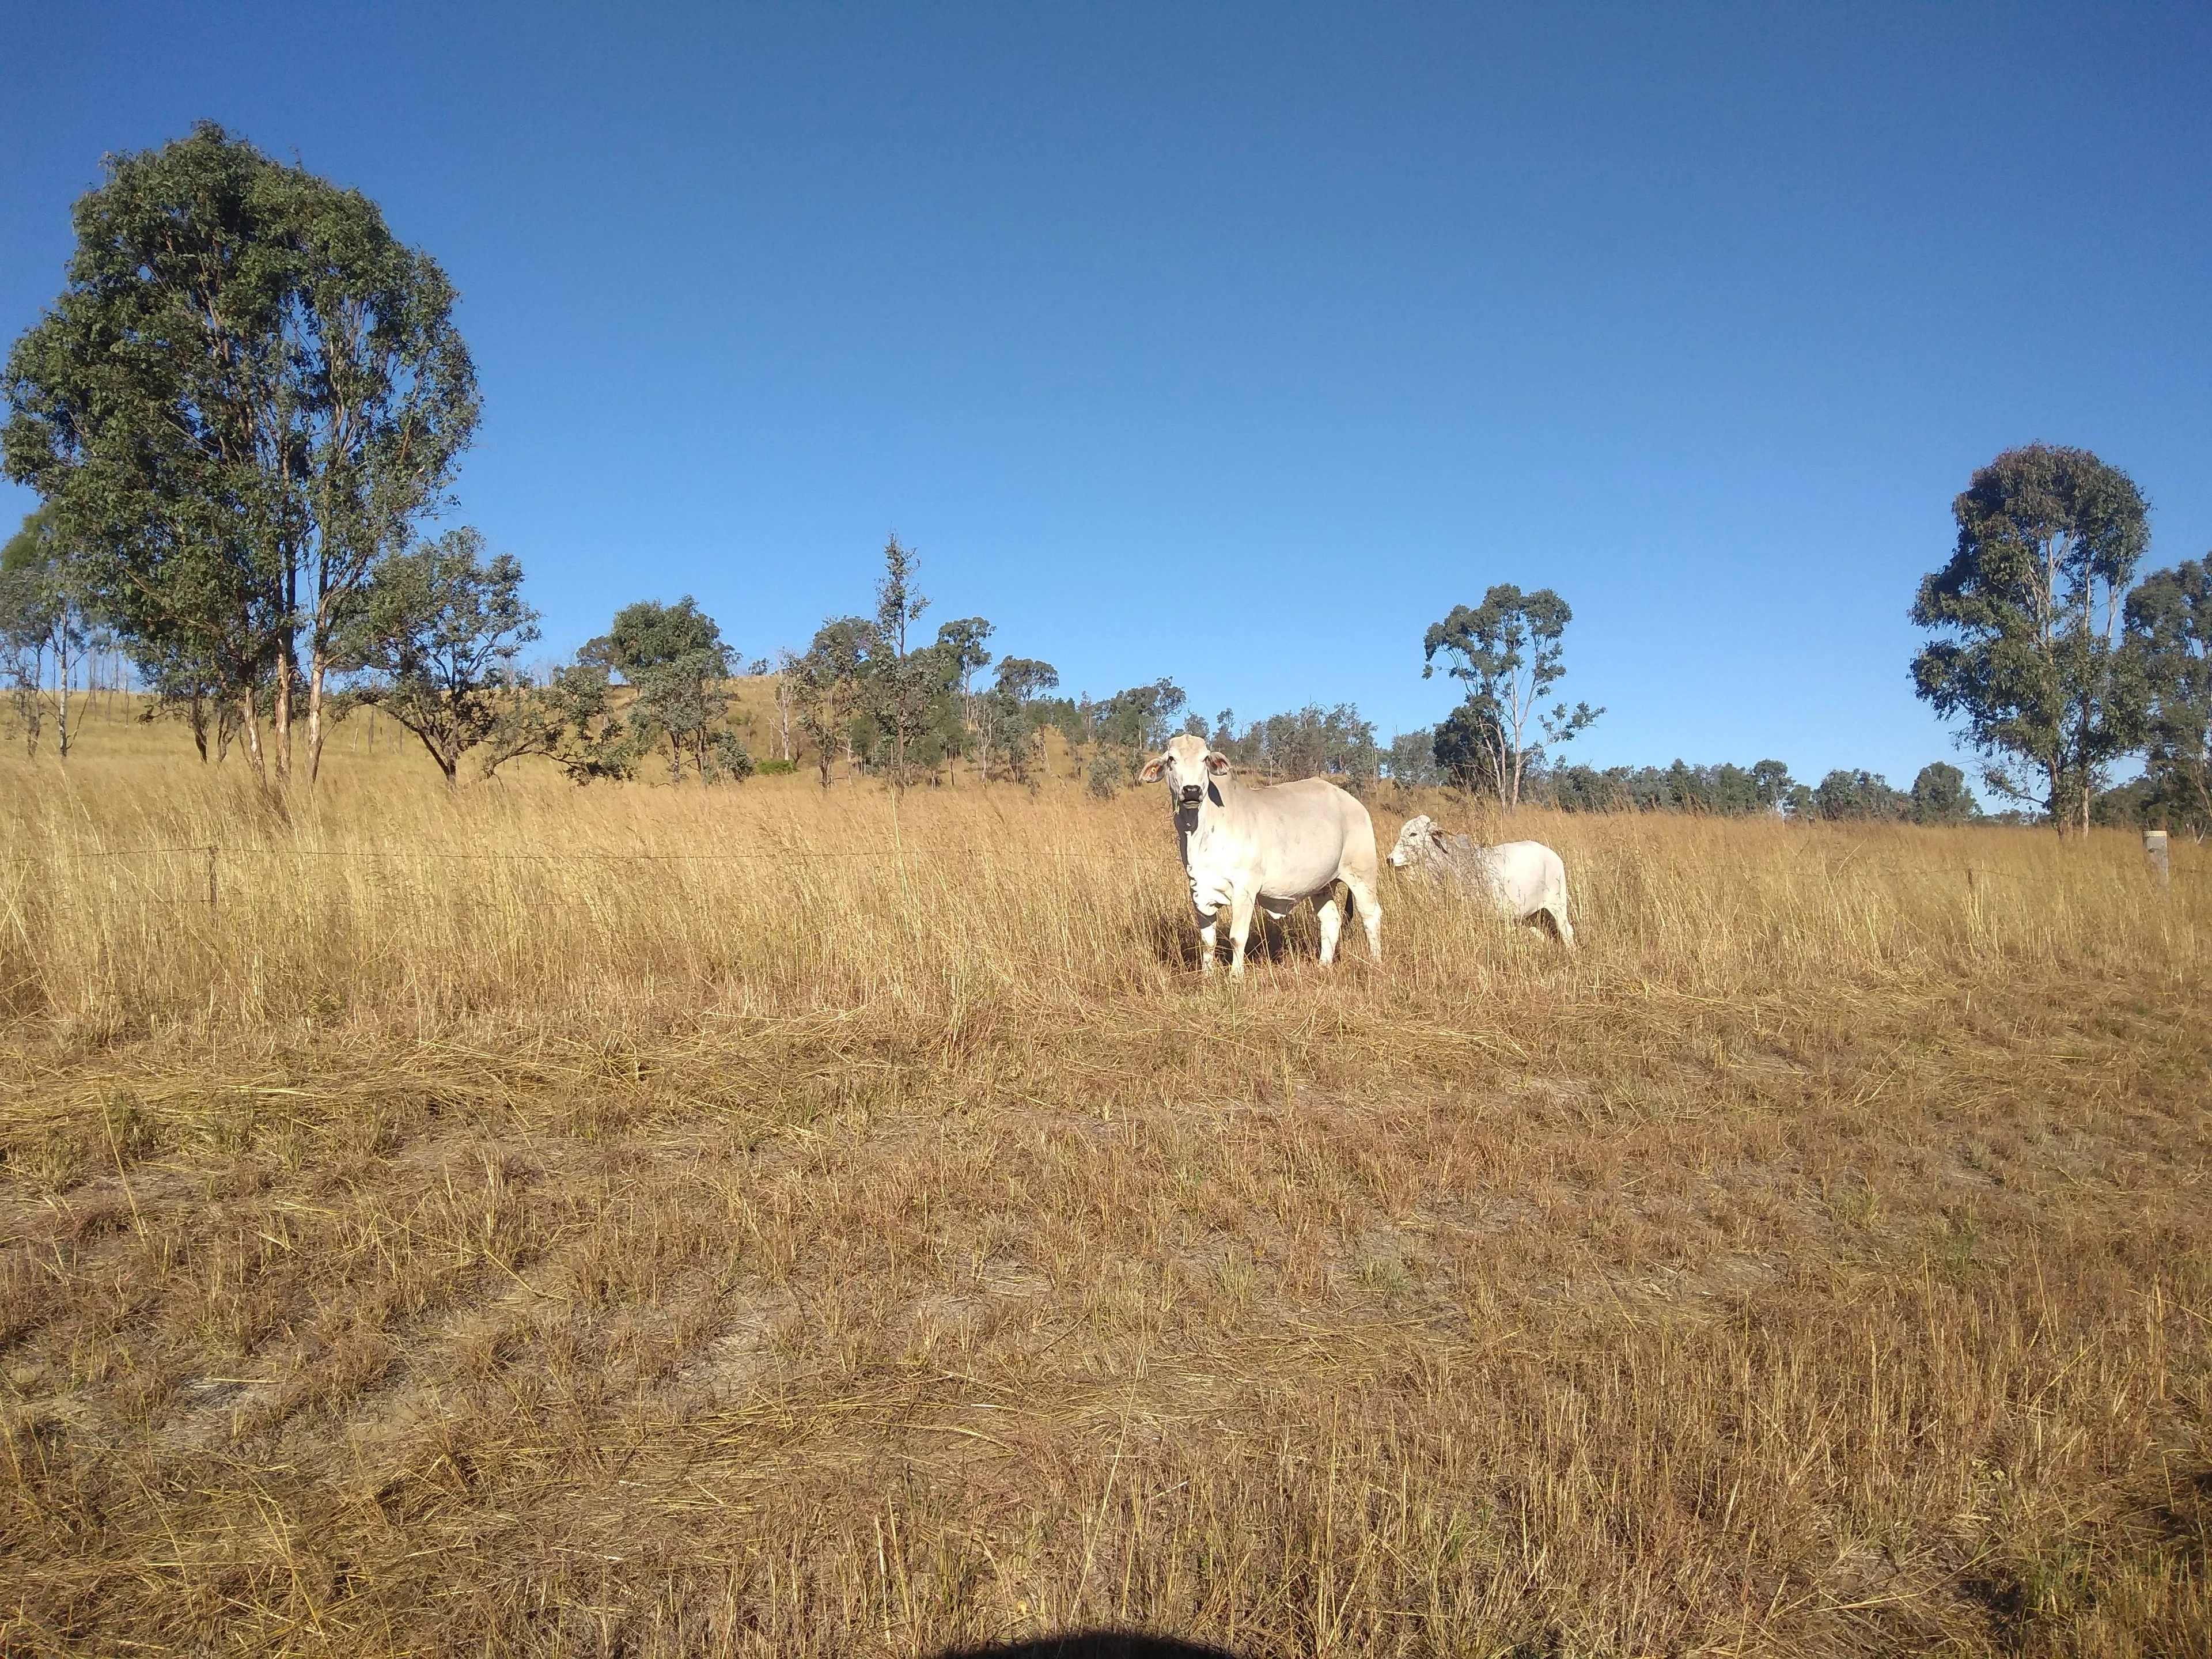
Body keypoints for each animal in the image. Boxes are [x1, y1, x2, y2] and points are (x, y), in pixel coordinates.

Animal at [1137, 732, 1383, 977]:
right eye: (1172, 759)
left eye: (1205, 759)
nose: (1192, 791)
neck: (1198, 831)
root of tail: (1354, 803)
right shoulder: (1198, 889)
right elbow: (1207, 939)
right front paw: (1208, 975)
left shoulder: (1245, 888)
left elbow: (1237, 937)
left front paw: (1236, 976)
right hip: (1323, 885)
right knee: (1331, 919)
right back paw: (1324, 964)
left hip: (1362, 875)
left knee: (1371, 916)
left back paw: (1376, 961)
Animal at [1387, 815, 1576, 947]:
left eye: (1413, 834)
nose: (1390, 860)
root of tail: (1553, 855)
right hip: (1530, 914)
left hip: (1558, 904)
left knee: (1567, 931)